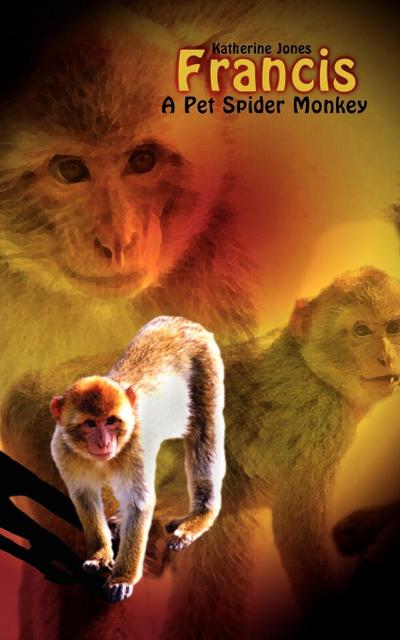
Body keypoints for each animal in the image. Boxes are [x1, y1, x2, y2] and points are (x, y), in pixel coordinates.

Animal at [49, 316, 225, 602]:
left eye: (111, 421)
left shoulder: (136, 446)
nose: (104, 442)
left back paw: (200, 516)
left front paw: (122, 577)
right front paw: (99, 553)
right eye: (89, 424)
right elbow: (85, 497)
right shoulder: (63, 451)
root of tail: (181, 321)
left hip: (207, 366)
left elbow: (139, 503)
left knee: (204, 435)